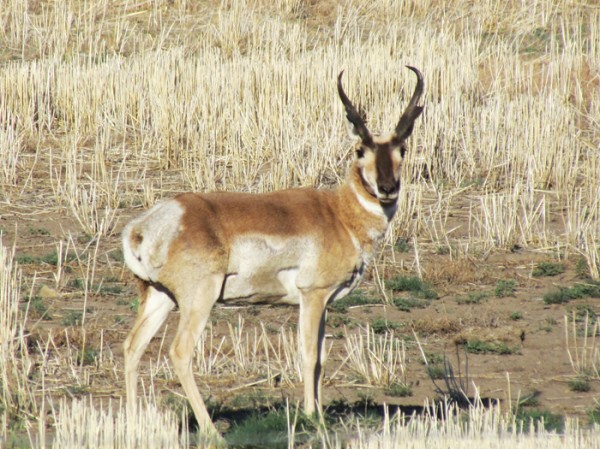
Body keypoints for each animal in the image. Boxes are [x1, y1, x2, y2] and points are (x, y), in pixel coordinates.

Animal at [120, 67, 422, 434]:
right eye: (360, 149)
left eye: (402, 148)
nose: (387, 188)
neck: (338, 213)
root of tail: (150, 222)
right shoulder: (313, 296)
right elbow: (309, 355)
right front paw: (311, 416)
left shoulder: (323, 302)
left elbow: (321, 358)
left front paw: (319, 414)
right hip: (198, 299)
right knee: (180, 352)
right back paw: (212, 432)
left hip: (159, 298)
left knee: (133, 347)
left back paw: (134, 425)